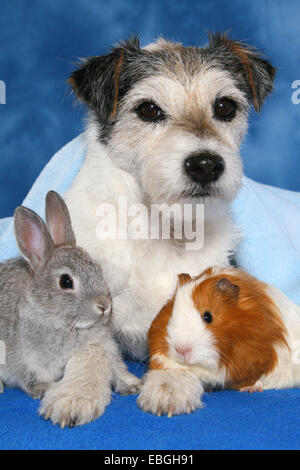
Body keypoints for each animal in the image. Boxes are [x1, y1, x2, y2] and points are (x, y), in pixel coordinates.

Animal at [0, 190, 141, 426]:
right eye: (66, 282)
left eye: (97, 268)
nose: (104, 305)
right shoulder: (24, 358)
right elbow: (30, 377)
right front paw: (46, 388)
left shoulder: (105, 346)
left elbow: (116, 366)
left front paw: (132, 385)